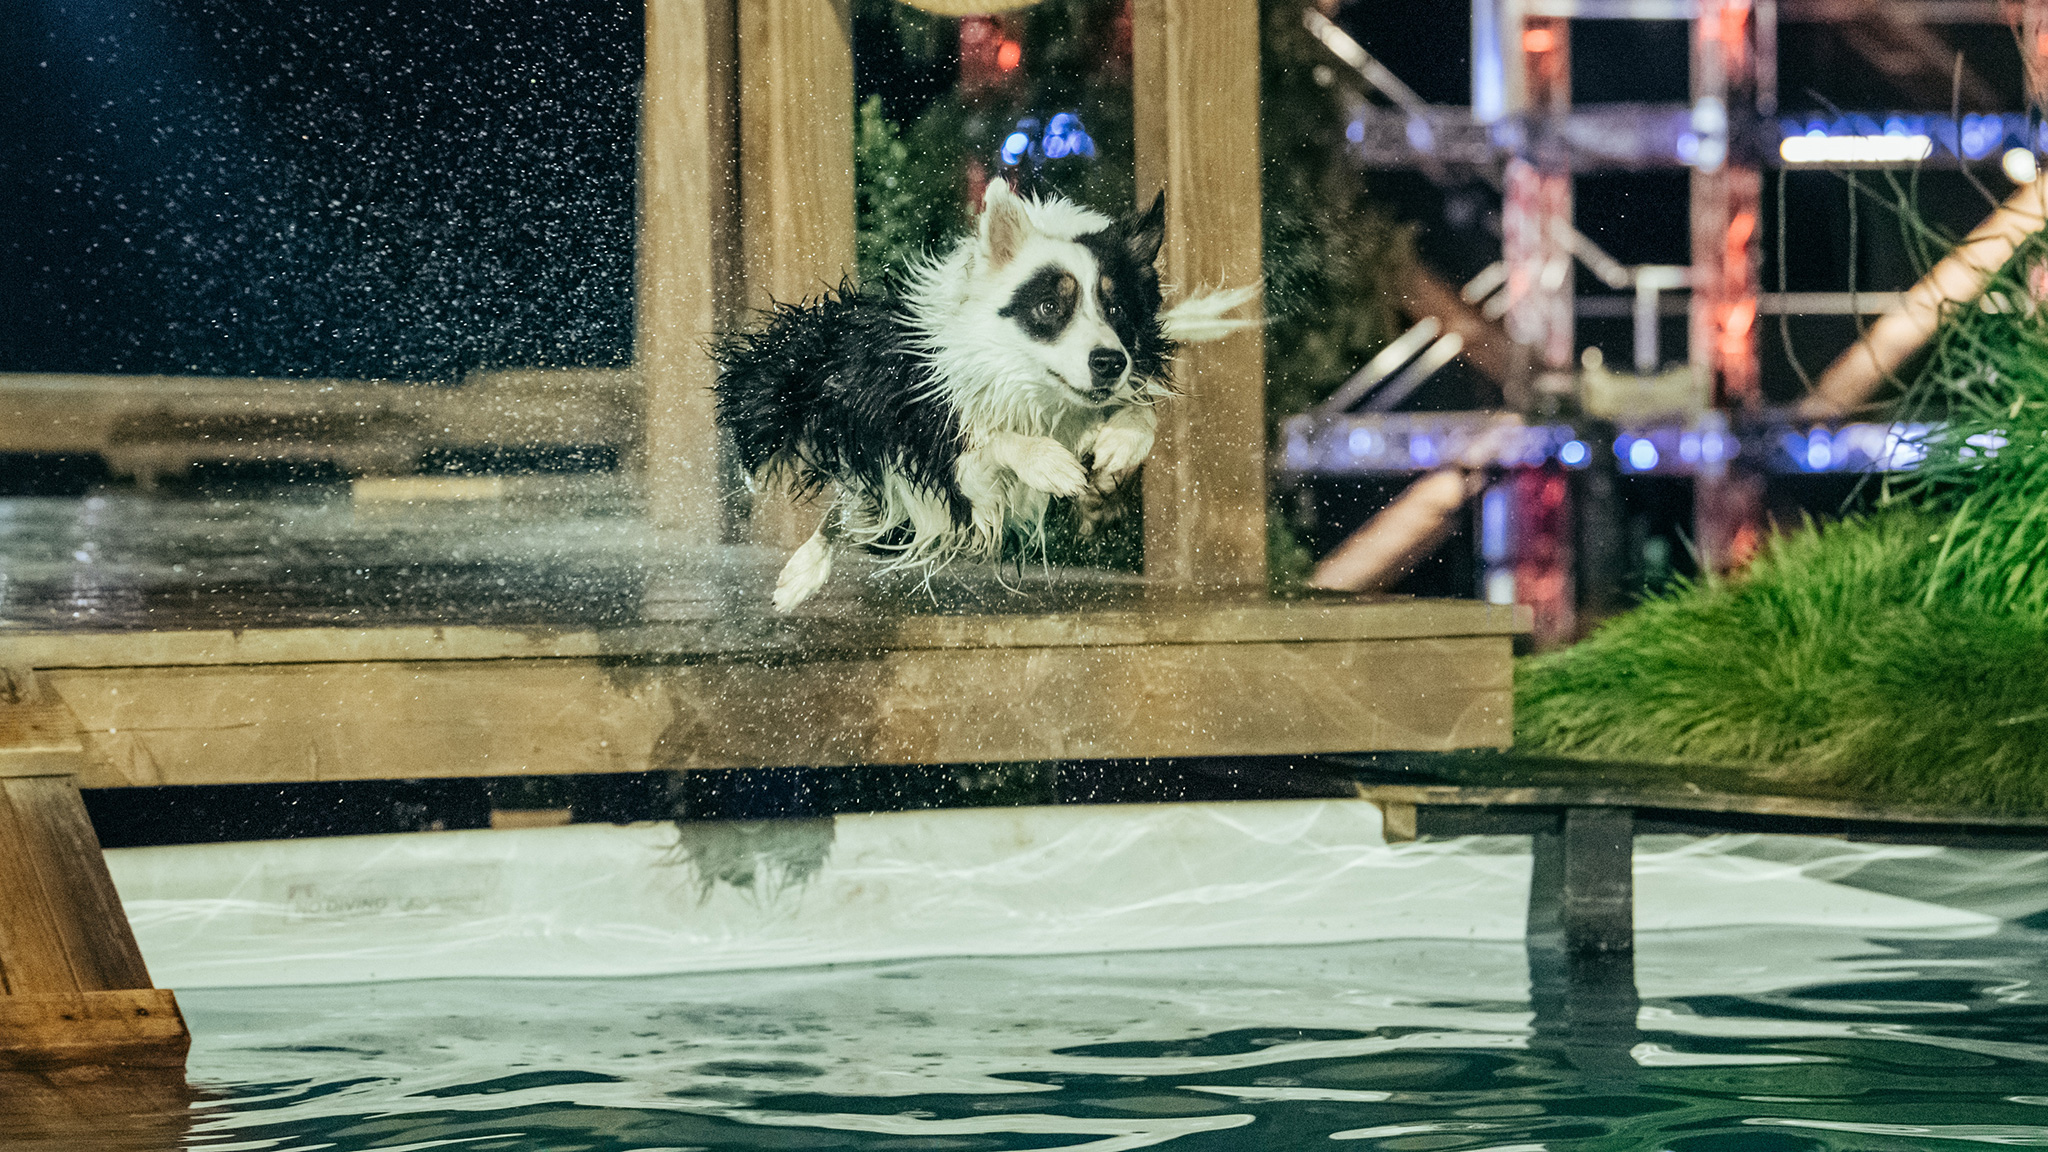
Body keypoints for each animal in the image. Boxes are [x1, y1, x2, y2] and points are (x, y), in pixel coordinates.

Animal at [712, 177, 1245, 610]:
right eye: (1049, 306)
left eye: (1116, 309)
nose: (1110, 362)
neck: (1030, 391)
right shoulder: (943, 452)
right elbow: (993, 441)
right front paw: (1047, 463)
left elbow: (1139, 412)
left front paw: (1121, 442)